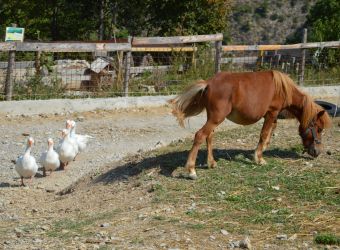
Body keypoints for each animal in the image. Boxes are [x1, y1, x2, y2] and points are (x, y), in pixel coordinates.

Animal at [170, 70, 332, 180]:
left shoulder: (273, 117)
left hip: (213, 118)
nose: (317, 152)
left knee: (209, 136)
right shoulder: (271, 113)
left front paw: (260, 151)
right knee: (200, 135)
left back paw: (211, 163)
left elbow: (269, 134)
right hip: (216, 118)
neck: (282, 88)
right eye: (319, 129)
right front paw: (259, 158)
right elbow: (264, 134)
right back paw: (191, 170)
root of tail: (209, 83)